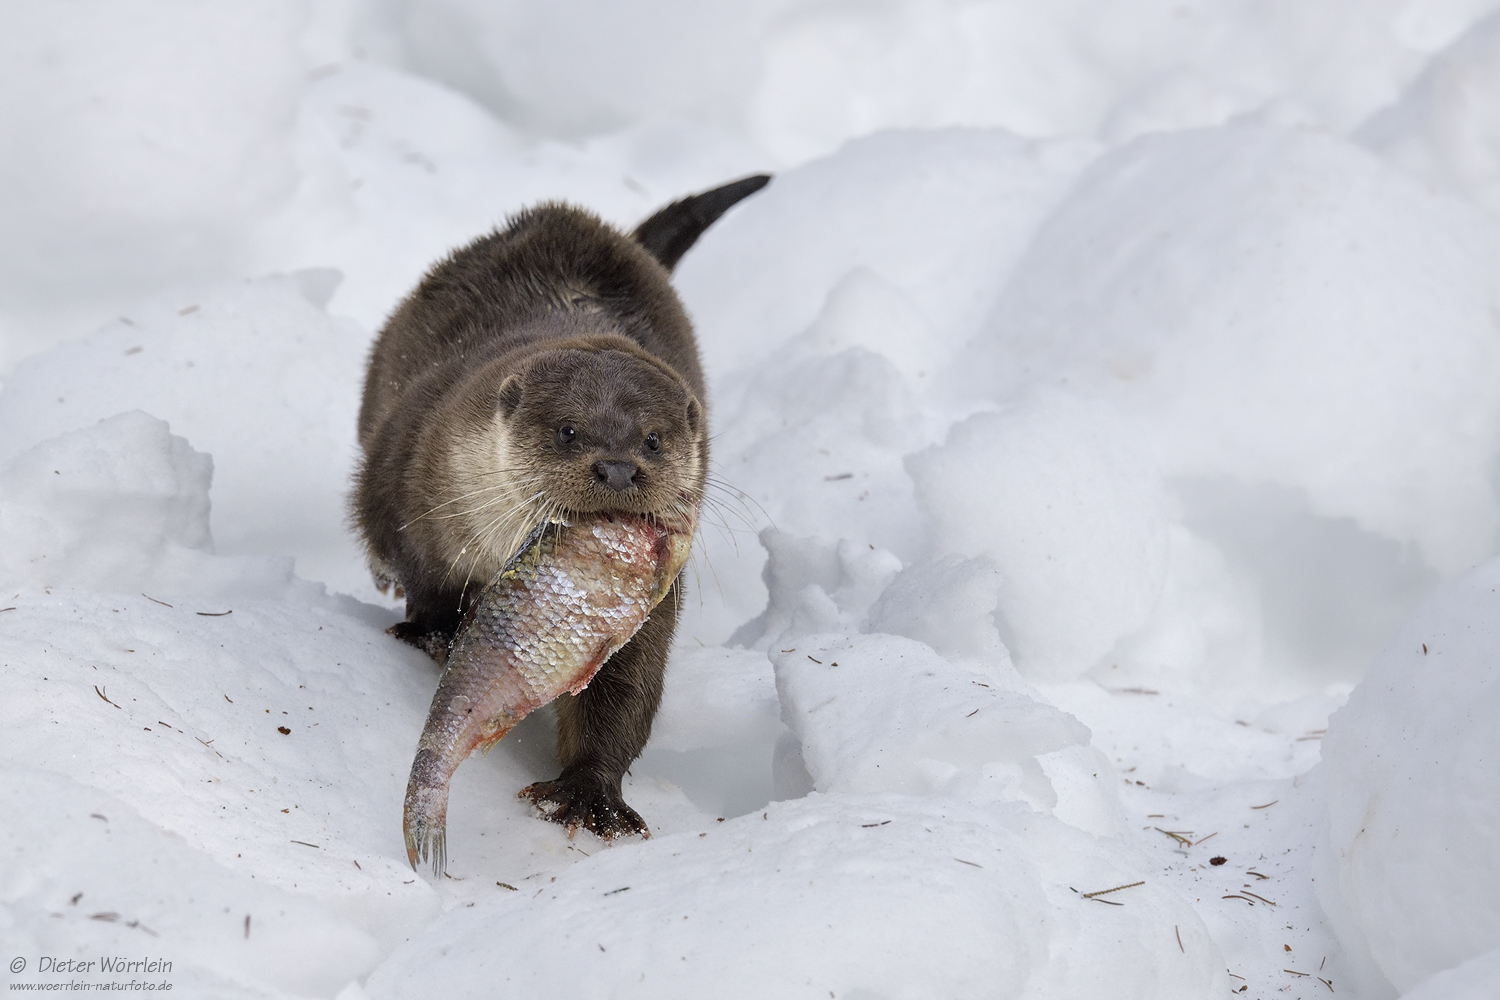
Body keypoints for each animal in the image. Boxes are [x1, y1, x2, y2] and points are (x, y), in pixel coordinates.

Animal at [355, 176, 768, 839]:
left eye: (654, 439)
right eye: (568, 431)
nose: (619, 467)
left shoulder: (651, 604)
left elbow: (625, 688)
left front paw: (589, 792)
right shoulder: (402, 469)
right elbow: (414, 567)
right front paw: (431, 631)